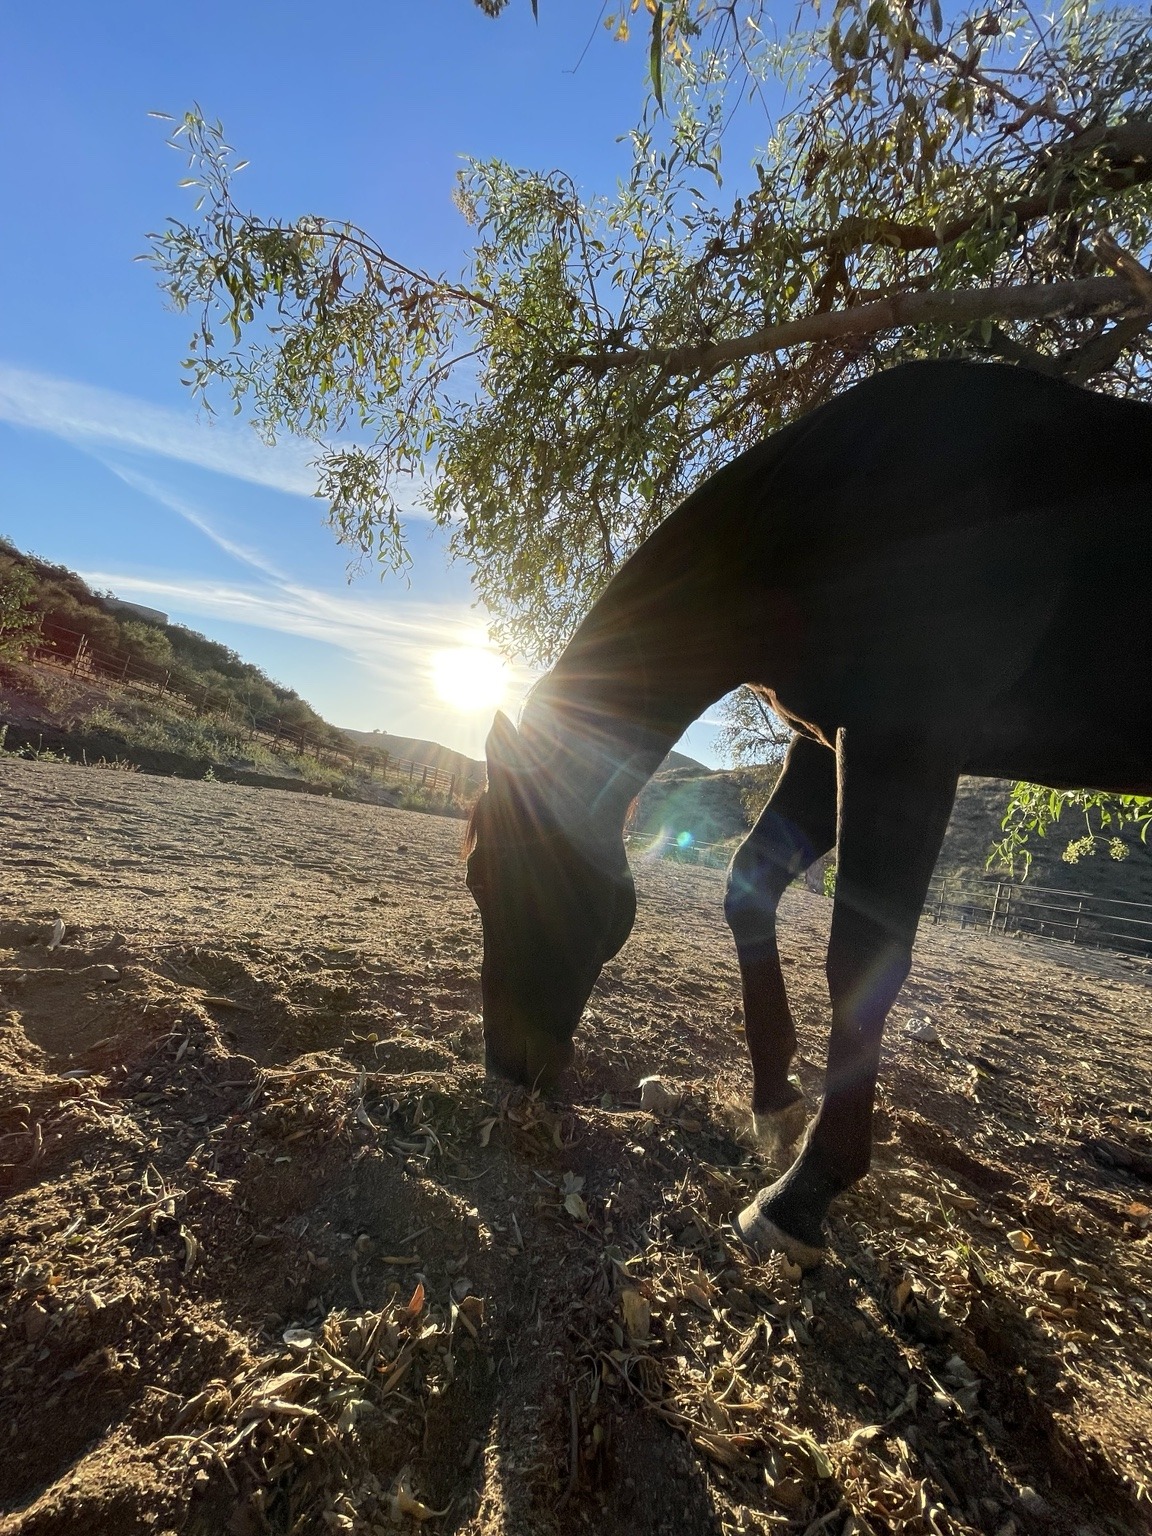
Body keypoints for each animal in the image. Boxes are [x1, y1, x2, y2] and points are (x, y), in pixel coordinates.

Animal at [464, 358, 1152, 1269]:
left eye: (498, 878)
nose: (509, 1068)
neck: (841, 499)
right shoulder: (825, 746)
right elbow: (749, 882)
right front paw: (774, 1102)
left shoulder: (906, 743)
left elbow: (863, 956)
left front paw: (804, 1194)